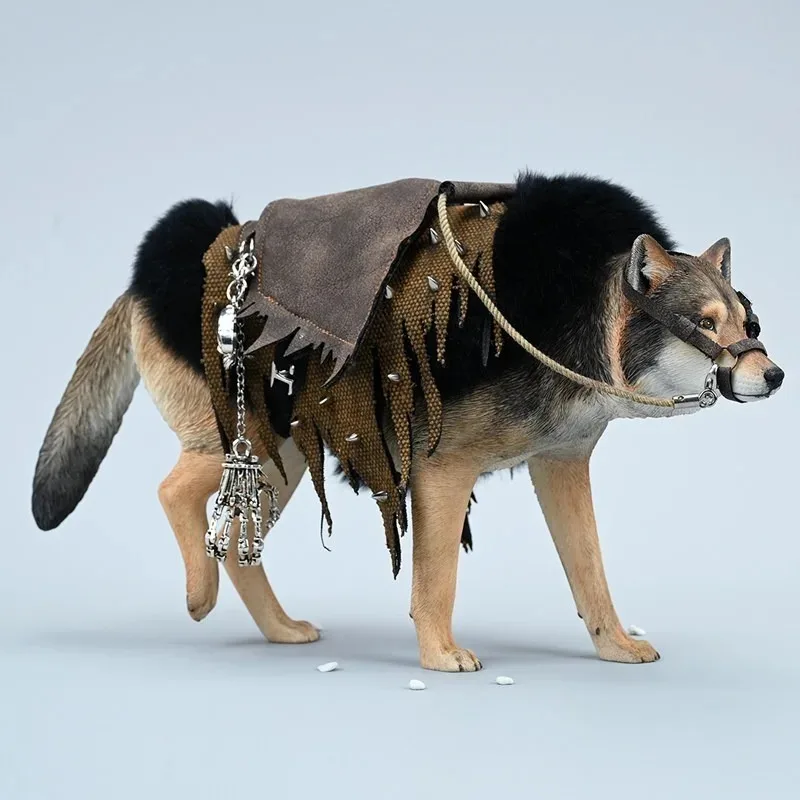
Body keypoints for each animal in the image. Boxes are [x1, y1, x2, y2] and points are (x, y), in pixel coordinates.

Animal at [31, 173, 784, 672]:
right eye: (703, 325)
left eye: (748, 322)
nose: (774, 375)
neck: (575, 318)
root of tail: (147, 277)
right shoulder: (442, 472)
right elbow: (437, 580)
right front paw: (440, 654)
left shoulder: (561, 467)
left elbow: (591, 573)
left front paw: (615, 646)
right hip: (243, 442)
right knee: (174, 494)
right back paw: (198, 593)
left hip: (283, 460)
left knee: (241, 545)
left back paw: (278, 629)